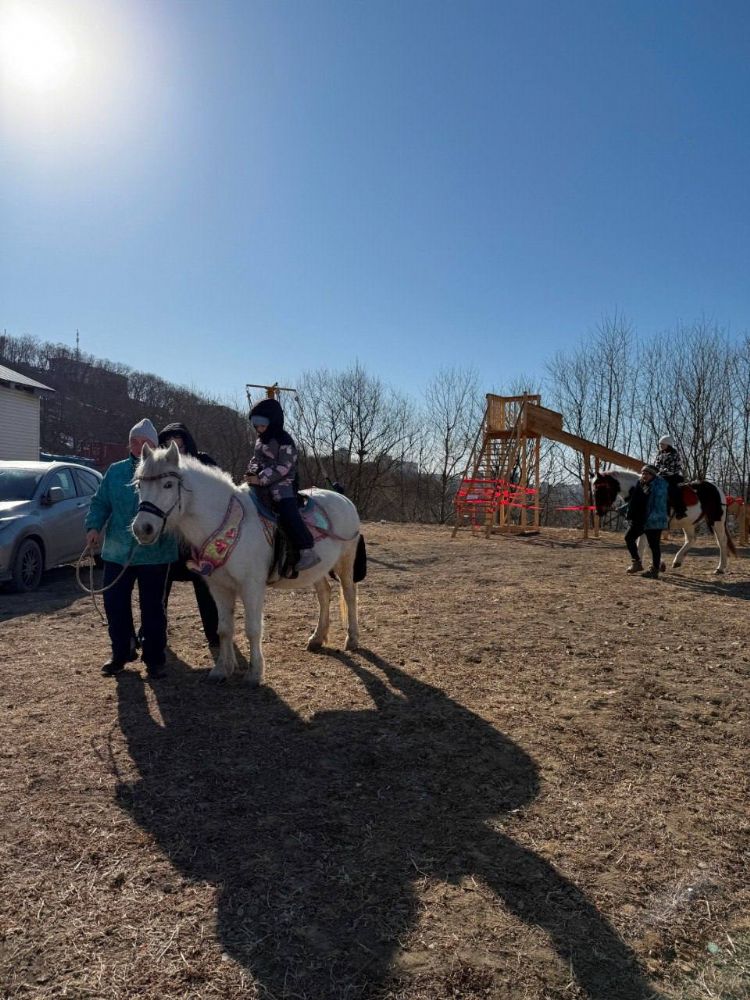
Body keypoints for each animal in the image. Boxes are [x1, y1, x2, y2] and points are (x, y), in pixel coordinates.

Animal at [131, 442, 366, 685]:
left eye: (168, 485)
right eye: (139, 485)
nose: (142, 529)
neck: (229, 522)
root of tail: (344, 499)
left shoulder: (251, 586)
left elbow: (253, 629)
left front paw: (255, 673)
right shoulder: (219, 587)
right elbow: (224, 629)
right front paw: (222, 670)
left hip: (345, 562)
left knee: (349, 594)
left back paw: (352, 639)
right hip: (317, 569)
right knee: (324, 594)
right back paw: (317, 638)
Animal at [592, 468, 736, 574]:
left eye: (600, 489)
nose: (599, 512)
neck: (644, 491)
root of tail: (717, 489)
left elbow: (645, 545)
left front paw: (646, 565)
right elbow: (645, 545)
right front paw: (655, 565)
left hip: (716, 521)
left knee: (722, 542)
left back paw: (720, 568)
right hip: (688, 523)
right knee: (691, 540)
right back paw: (677, 561)